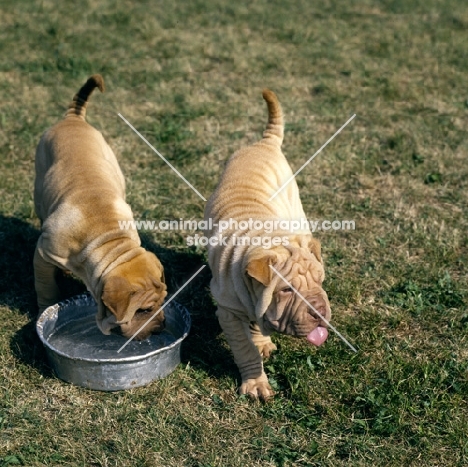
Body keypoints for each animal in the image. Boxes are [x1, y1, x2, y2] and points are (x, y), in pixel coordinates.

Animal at [34, 75, 166, 342]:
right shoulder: (44, 252)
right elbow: (45, 285)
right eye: (144, 310)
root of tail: (73, 119)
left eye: (163, 301)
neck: (106, 237)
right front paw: (45, 309)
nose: (162, 328)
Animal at [203, 89, 330, 400]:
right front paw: (256, 383)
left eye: (320, 280)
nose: (320, 311)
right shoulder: (228, 312)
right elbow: (244, 348)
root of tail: (264, 142)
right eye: (286, 290)